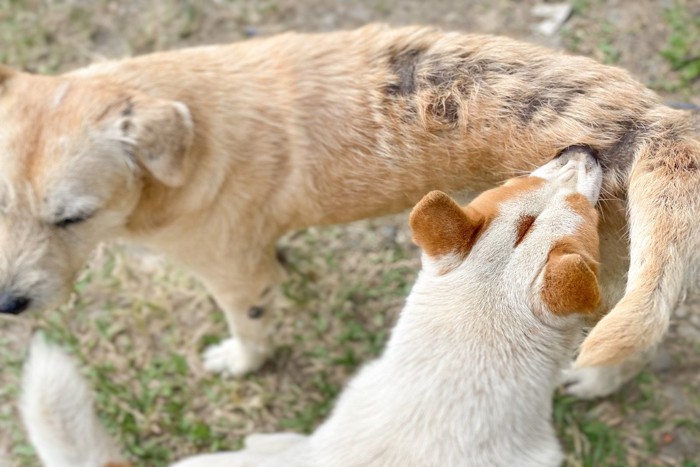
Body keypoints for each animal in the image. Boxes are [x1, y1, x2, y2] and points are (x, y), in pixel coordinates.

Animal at [0, 24, 696, 398]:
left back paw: (596, 383)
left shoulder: (235, 278)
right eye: (2, 204)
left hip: (604, 286)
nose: (9, 304)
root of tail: (652, 123)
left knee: (636, 341)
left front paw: (241, 363)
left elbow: (250, 334)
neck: (190, 141)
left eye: (73, 217)